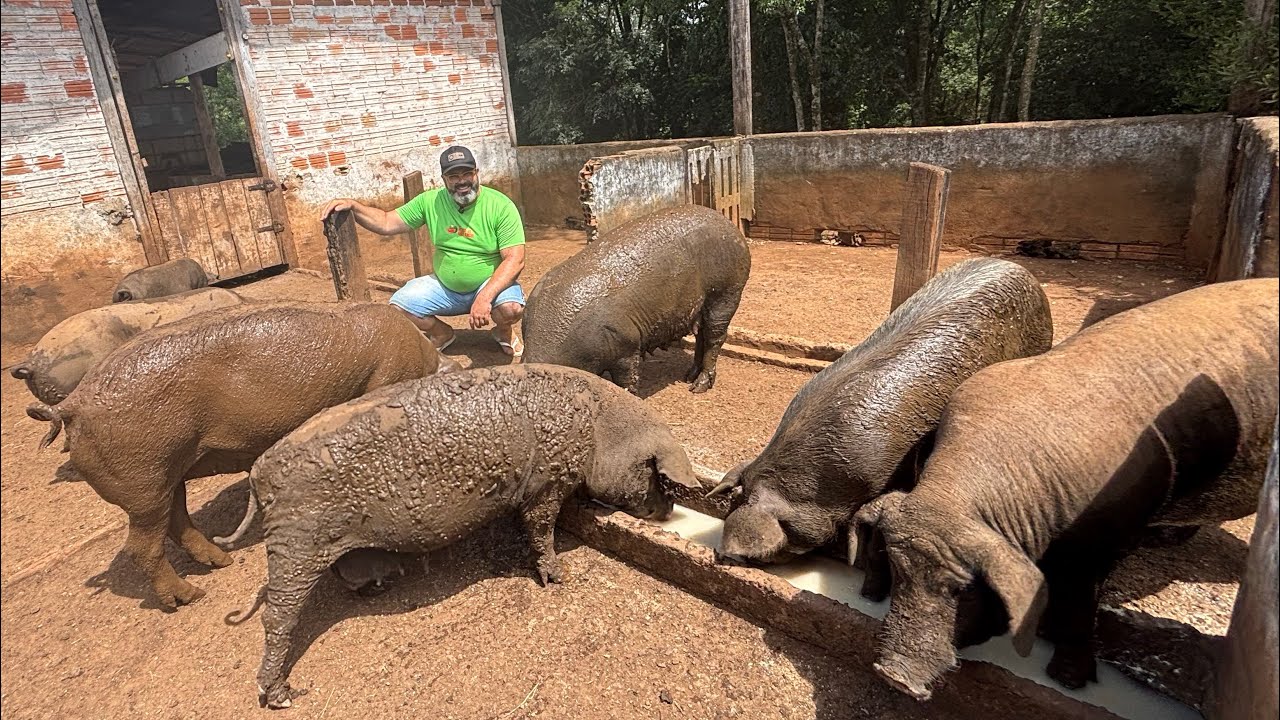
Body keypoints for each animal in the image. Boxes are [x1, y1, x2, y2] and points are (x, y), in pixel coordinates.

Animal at [38, 301, 449, 609]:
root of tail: (71, 406)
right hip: (144, 478)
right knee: (141, 546)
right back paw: (189, 597)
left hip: (165, 475)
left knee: (176, 520)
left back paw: (222, 562)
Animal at [239, 364, 699, 708]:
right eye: (657, 479)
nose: (669, 513)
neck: (599, 427)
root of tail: (259, 472)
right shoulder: (546, 482)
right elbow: (540, 526)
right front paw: (559, 578)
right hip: (296, 541)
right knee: (277, 616)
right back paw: (283, 696)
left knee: (346, 569)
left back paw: (379, 587)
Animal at [522, 205, 751, 394]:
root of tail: (730, 225)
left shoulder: (627, 345)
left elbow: (627, 381)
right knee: (700, 335)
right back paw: (688, 377)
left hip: (727, 292)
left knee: (715, 337)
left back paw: (697, 387)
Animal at [854, 278, 1279, 700]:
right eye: (898, 571)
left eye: (964, 588)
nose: (894, 674)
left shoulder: (1106, 537)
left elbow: (1079, 604)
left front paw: (1068, 680)